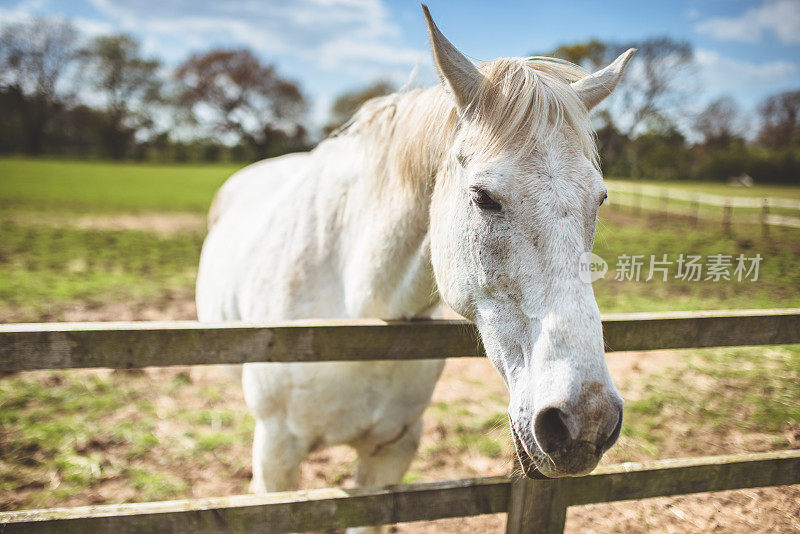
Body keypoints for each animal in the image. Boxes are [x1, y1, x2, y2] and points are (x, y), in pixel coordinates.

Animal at [197, 2, 636, 524]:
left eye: (600, 199)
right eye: (483, 197)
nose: (585, 422)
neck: (358, 314)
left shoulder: (392, 453)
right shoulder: (276, 458)